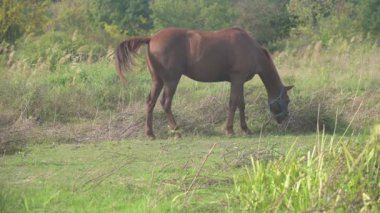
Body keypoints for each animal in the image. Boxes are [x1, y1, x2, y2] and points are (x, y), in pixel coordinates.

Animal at [114, 27, 292, 139]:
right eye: (288, 100)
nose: (284, 119)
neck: (251, 49)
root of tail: (151, 39)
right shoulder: (237, 79)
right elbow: (233, 103)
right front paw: (229, 130)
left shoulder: (239, 82)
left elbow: (241, 104)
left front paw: (245, 129)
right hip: (171, 80)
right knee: (166, 103)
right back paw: (177, 130)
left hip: (157, 81)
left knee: (150, 103)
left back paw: (150, 134)